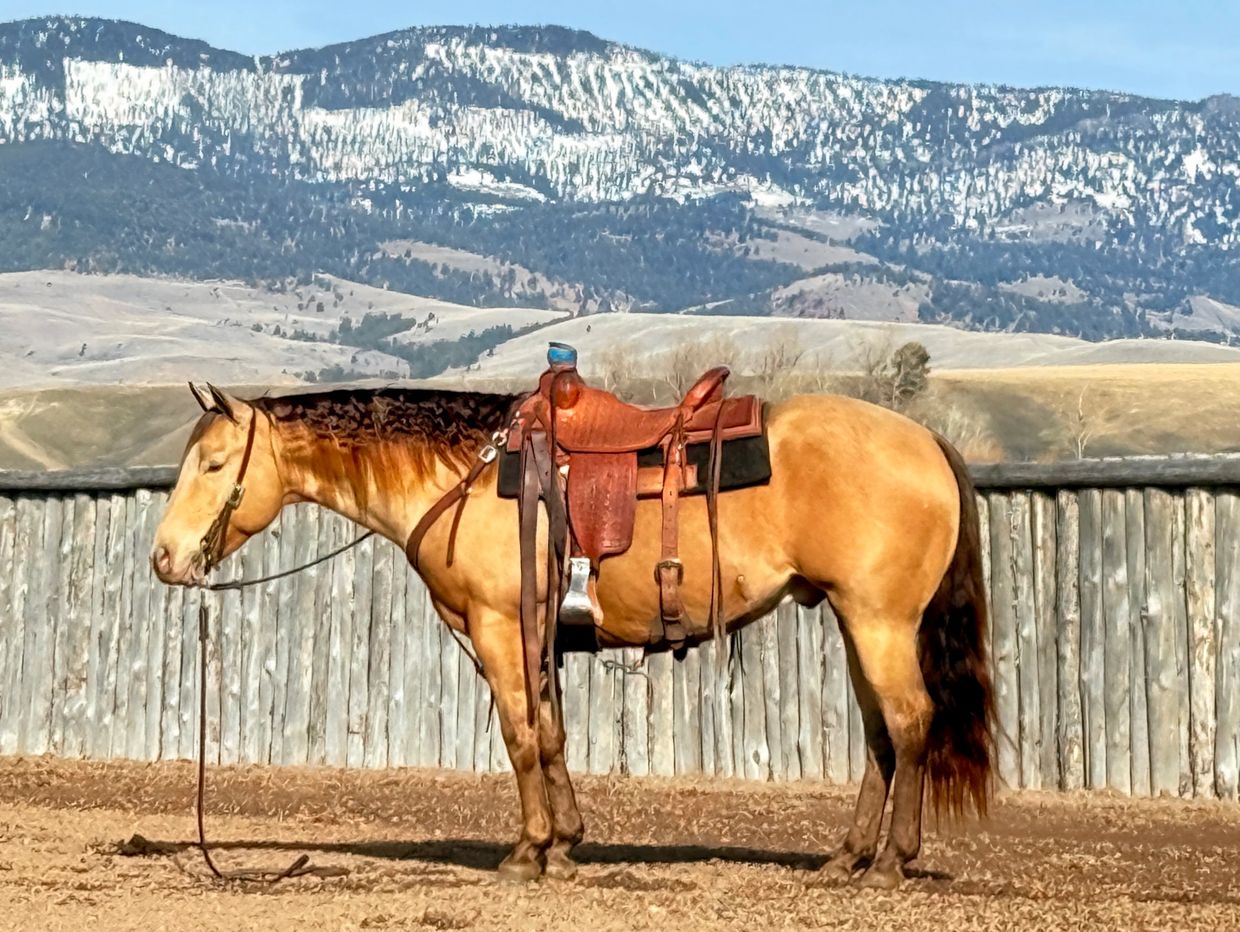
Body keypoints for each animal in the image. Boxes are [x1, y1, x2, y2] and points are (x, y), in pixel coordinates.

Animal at [151, 380, 993, 889]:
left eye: (215, 463)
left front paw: (527, 852)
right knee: (880, 736)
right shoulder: (536, 638)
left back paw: (890, 863)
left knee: (910, 723)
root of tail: (926, 441)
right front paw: (566, 841)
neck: (464, 477)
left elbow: (521, 736)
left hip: (879, 622)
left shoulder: (498, 628)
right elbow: (552, 734)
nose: (164, 558)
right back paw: (846, 858)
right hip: (857, 623)